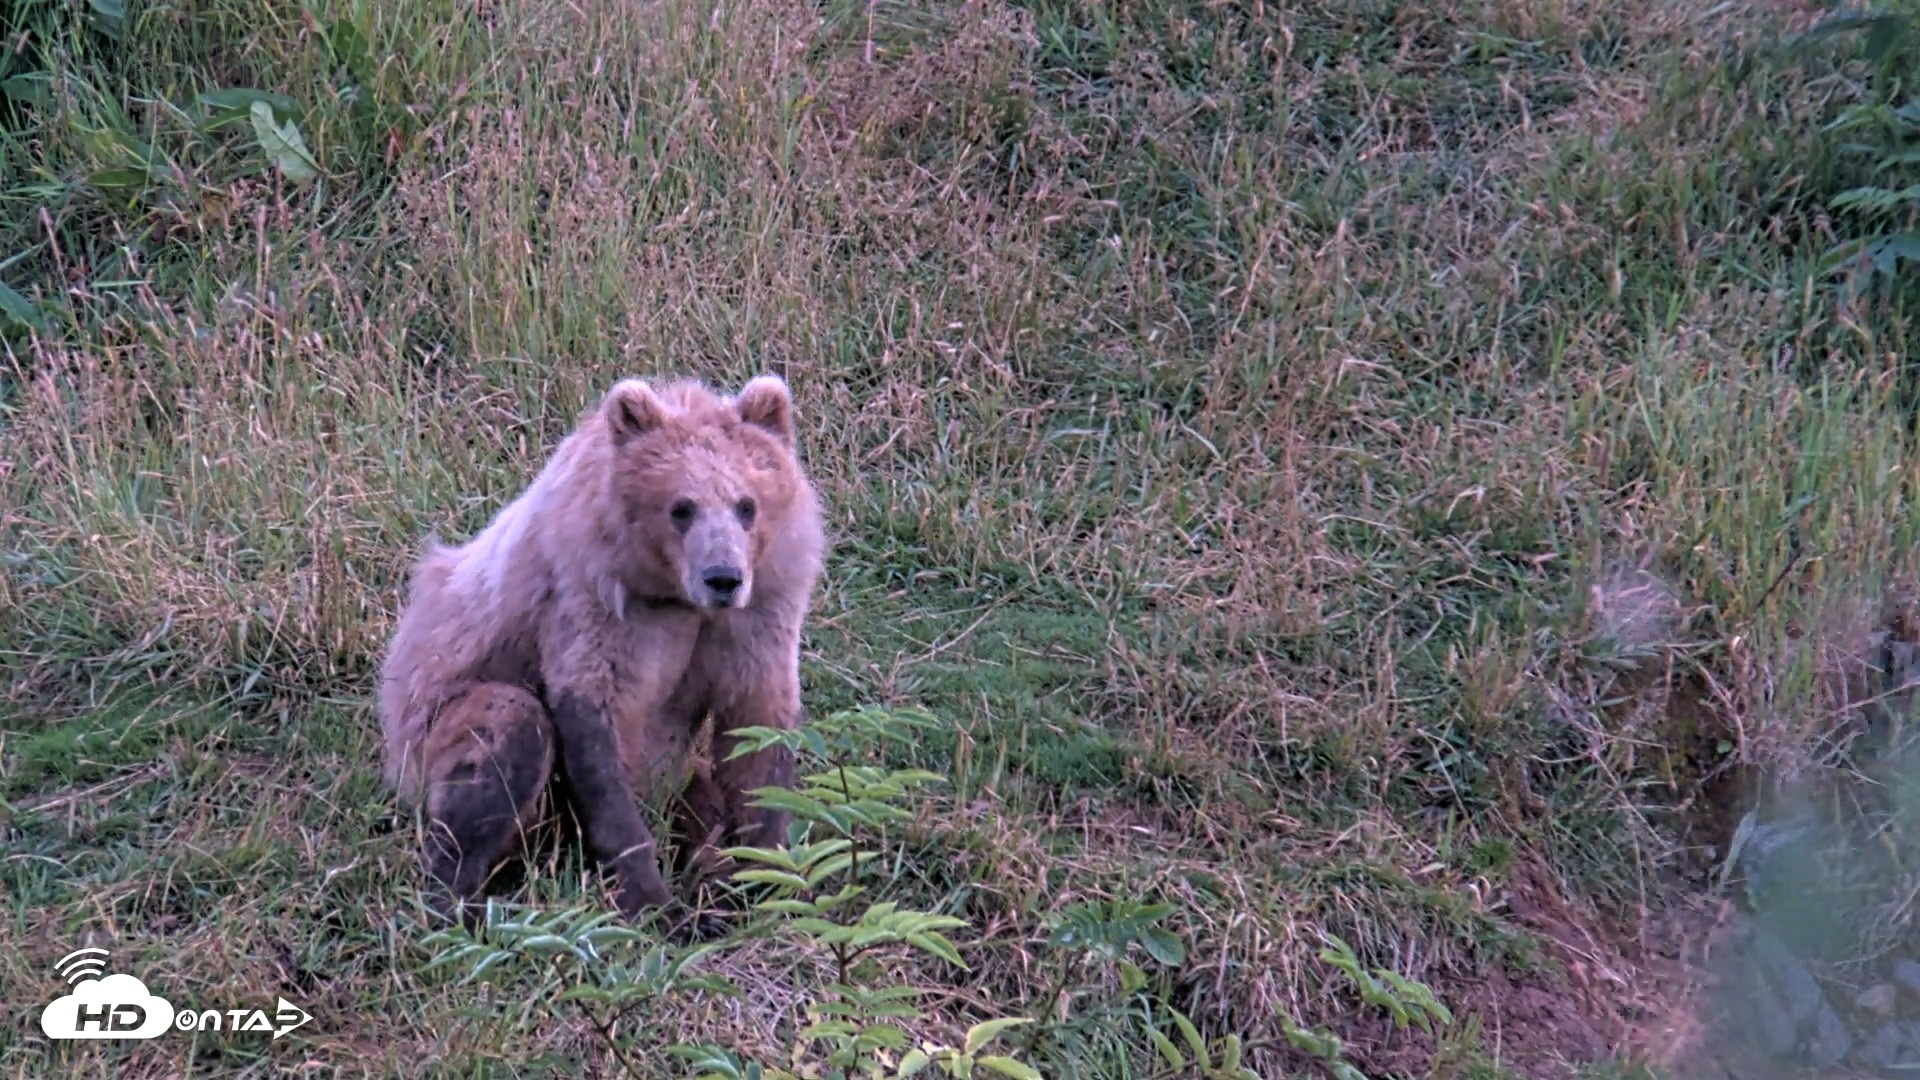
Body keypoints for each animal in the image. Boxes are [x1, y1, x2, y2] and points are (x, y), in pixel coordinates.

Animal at [376, 373, 828, 938]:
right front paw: (653, 901)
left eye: (746, 504)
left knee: (699, 793)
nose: (723, 577)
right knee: (506, 734)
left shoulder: (758, 611)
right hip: (426, 738)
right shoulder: (597, 603)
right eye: (682, 507)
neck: (670, 591)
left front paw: (767, 878)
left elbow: (757, 729)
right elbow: (598, 728)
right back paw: (464, 903)